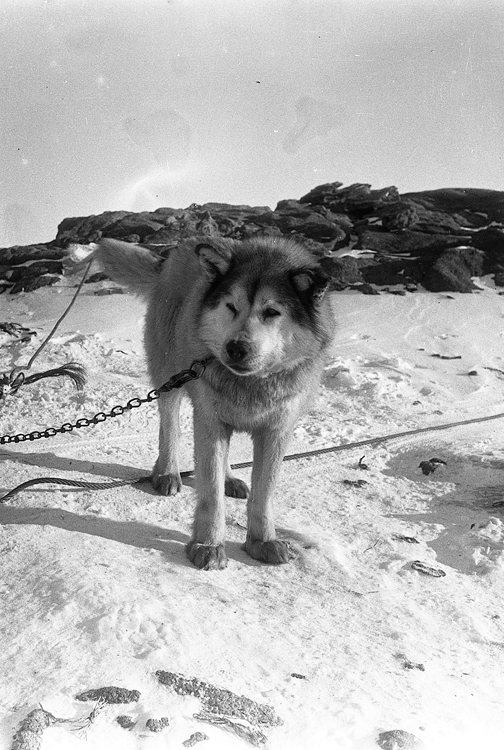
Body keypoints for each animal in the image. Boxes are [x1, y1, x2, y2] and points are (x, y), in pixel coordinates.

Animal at [96, 235, 336, 568]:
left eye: (272, 312)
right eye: (231, 306)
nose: (235, 348)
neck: (253, 383)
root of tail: (183, 247)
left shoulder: (275, 431)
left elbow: (263, 495)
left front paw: (262, 541)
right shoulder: (209, 421)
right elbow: (210, 493)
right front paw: (208, 545)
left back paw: (230, 478)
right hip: (170, 376)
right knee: (169, 426)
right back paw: (167, 472)